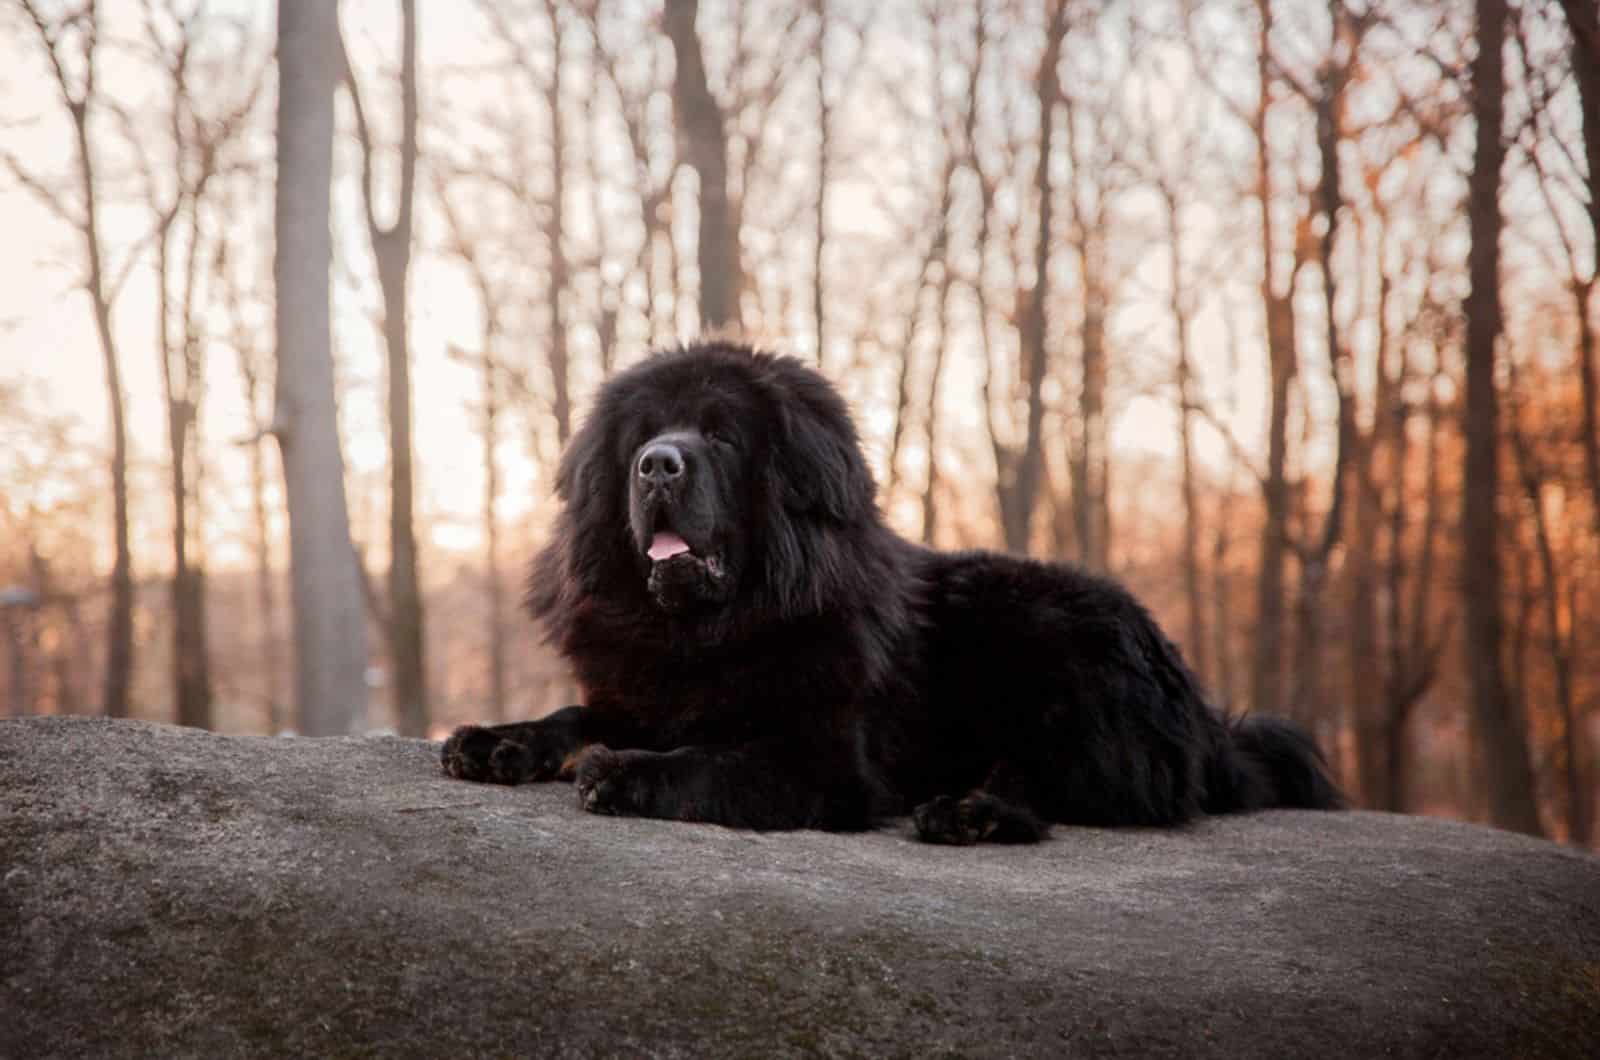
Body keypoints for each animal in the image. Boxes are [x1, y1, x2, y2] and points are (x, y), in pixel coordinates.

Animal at [438, 344, 1337, 845]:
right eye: (642, 437)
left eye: (722, 437)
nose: (658, 464)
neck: (710, 631)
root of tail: (1205, 717)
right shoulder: (638, 691)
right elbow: (573, 715)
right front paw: (497, 742)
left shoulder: (826, 762)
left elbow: (711, 761)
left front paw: (622, 774)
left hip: (1047, 642)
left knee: (1065, 783)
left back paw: (970, 814)